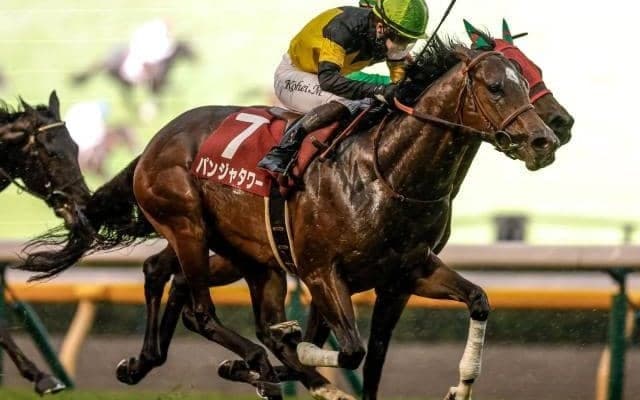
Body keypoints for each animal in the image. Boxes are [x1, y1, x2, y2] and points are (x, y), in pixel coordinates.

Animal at [18, 36, 560, 400]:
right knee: (201, 309)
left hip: (242, 255)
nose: (544, 140)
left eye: (530, 80)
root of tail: (157, 141)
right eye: (496, 86)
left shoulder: (405, 275)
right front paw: (300, 363)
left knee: (165, 273)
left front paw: (460, 385)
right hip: (189, 226)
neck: (389, 172)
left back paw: (151, 361)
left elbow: (468, 306)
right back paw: (263, 361)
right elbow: (349, 350)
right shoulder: (322, 272)